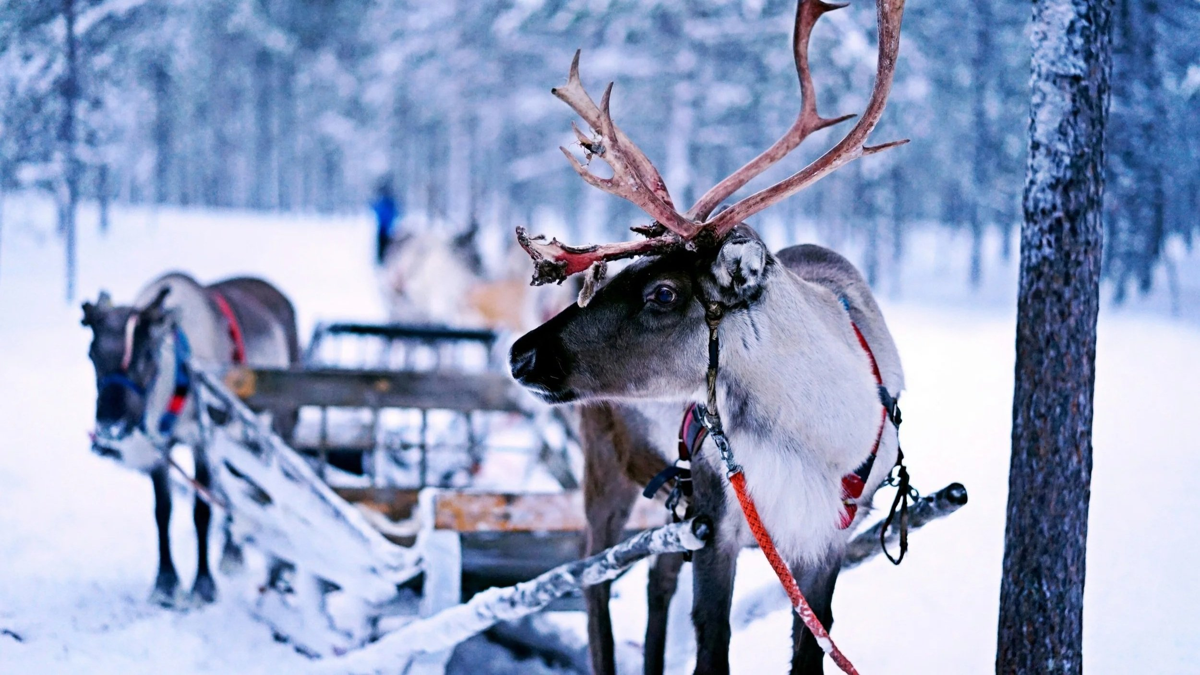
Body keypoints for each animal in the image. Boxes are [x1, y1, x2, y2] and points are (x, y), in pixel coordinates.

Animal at [507, 0, 908, 673]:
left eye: (663, 293)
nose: (520, 353)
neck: (812, 439)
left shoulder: (824, 538)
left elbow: (812, 642)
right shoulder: (717, 521)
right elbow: (710, 639)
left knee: (654, 582)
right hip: (606, 474)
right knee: (593, 579)